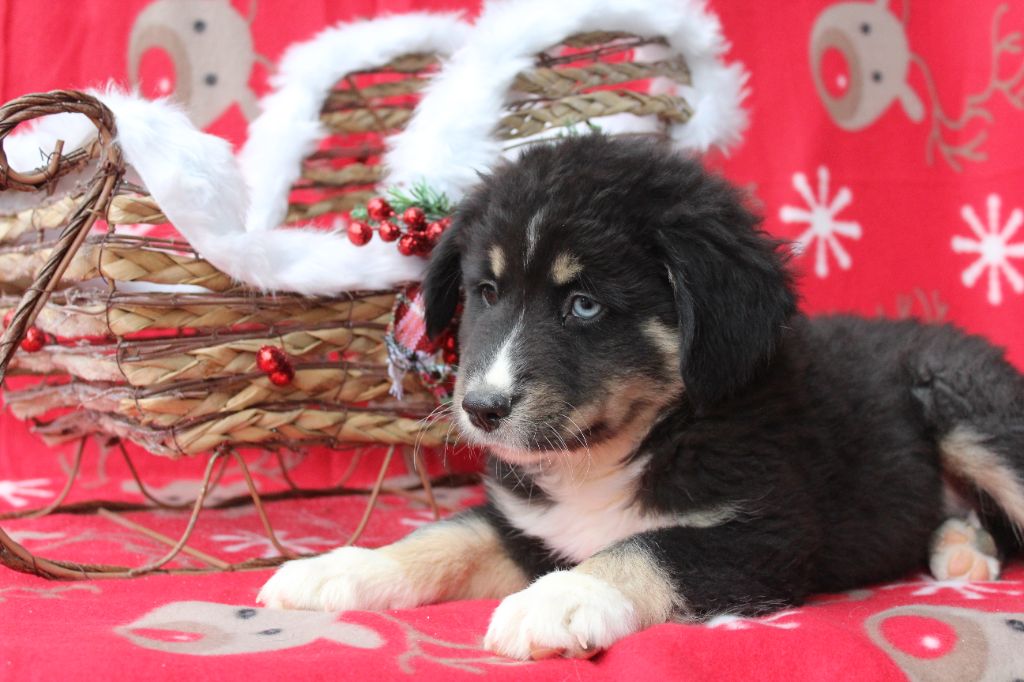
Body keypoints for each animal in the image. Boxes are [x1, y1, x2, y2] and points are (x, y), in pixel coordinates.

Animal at [258, 134, 1024, 660]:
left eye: (585, 305)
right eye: (487, 293)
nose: (482, 410)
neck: (611, 456)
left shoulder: (764, 532)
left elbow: (645, 548)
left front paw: (560, 600)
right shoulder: (526, 528)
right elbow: (441, 538)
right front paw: (337, 571)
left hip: (964, 404)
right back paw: (960, 547)